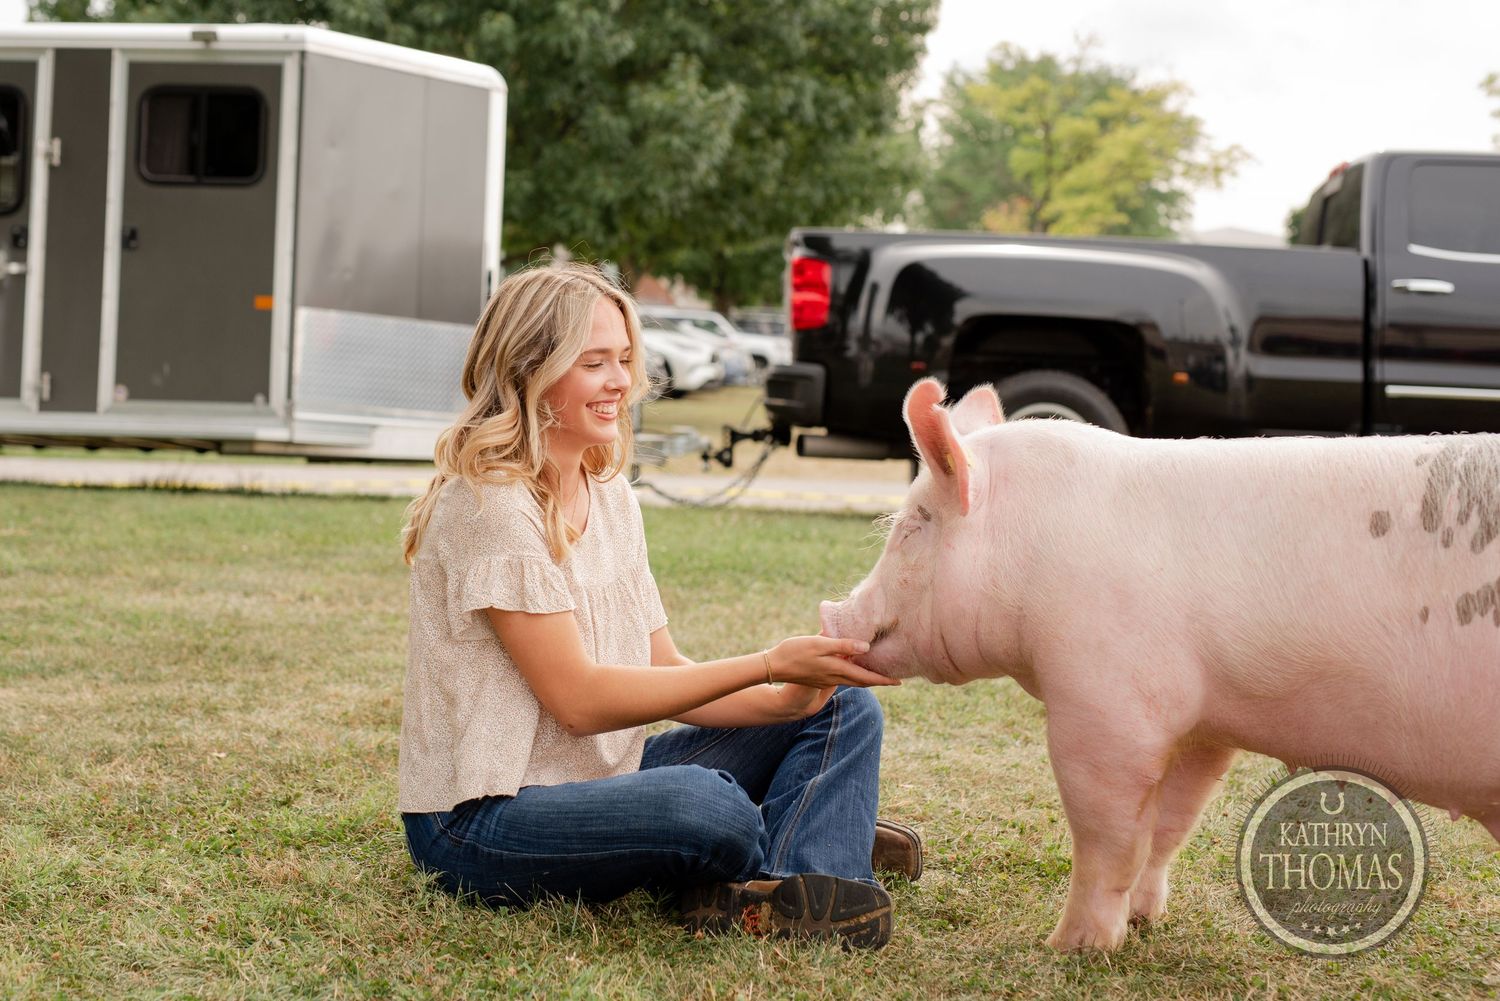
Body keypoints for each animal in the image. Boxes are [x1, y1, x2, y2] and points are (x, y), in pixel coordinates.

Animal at [820, 377, 1500, 952]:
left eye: (912, 527)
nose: (830, 613)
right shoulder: (1201, 722)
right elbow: (1170, 824)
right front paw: (1144, 921)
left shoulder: (1104, 707)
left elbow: (1107, 836)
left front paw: (1070, 947)